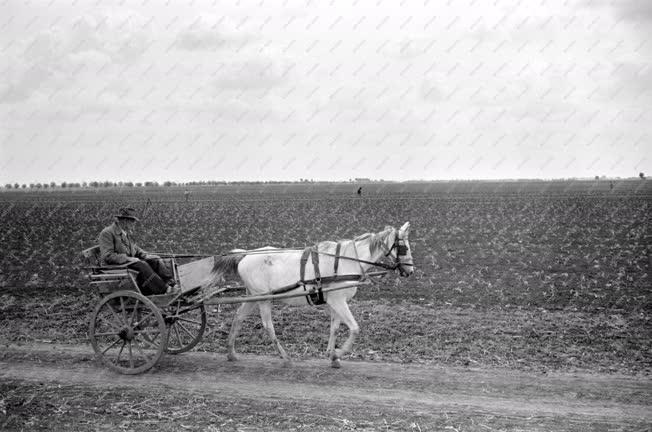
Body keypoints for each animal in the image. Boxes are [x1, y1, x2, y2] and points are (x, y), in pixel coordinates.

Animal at [206, 223, 416, 368]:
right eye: (404, 247)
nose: (410, 271)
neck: (347, 261)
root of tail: (246, 254)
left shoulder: (334, 302)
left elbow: (335, 328)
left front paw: (332, 356)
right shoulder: (338, 301)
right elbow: (355, 328)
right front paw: (338, 354)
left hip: (253, 296)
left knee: (238, 317)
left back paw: (231, 353)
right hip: (264, 298)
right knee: (268, 326)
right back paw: (285, 357)